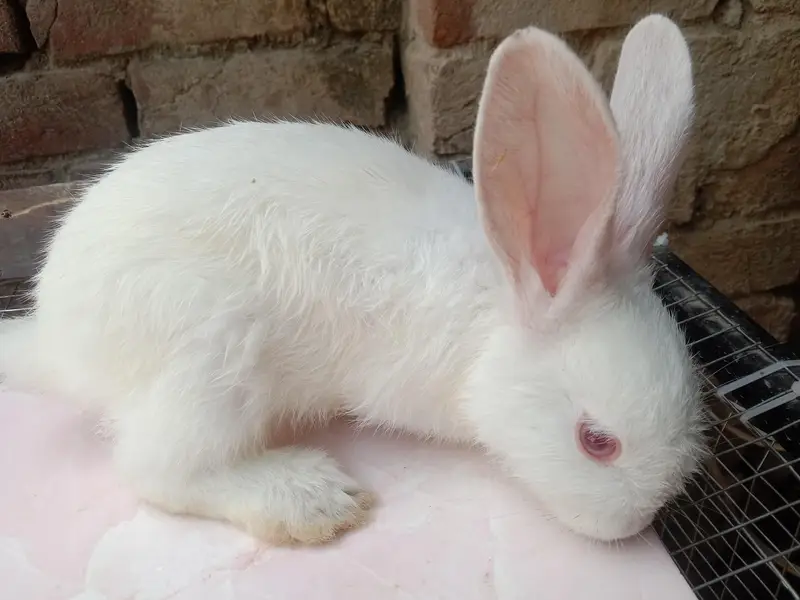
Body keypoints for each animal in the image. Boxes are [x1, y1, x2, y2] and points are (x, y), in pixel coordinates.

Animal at [0, 14, 706, 544]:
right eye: (597, 442)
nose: (634, 523)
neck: (495, 311)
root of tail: (56, 340)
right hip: (211, 357)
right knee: (157, 469)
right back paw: (309, 499)